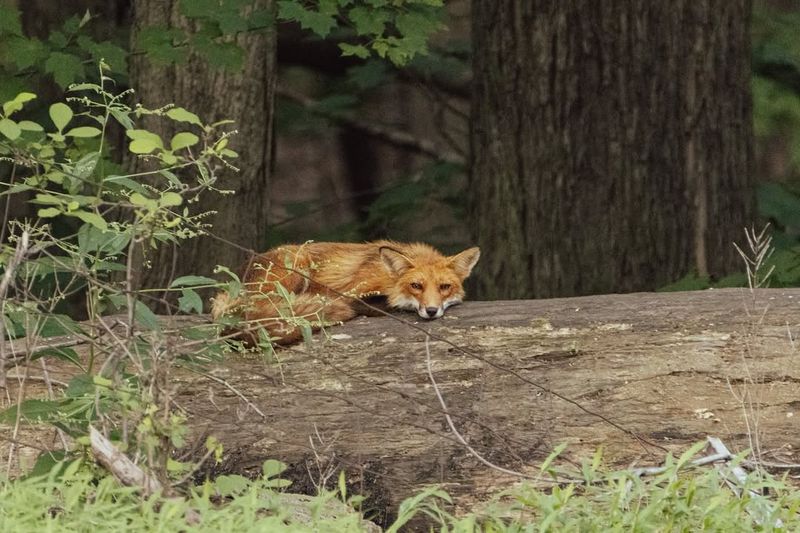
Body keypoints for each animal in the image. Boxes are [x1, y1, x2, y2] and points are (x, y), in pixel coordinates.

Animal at [210, 241, 481, 346]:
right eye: (416, 286)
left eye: (444, 287)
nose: (432, 311)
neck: (387, 276)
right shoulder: (355, 292)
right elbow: (386, 303)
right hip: (297, 266)